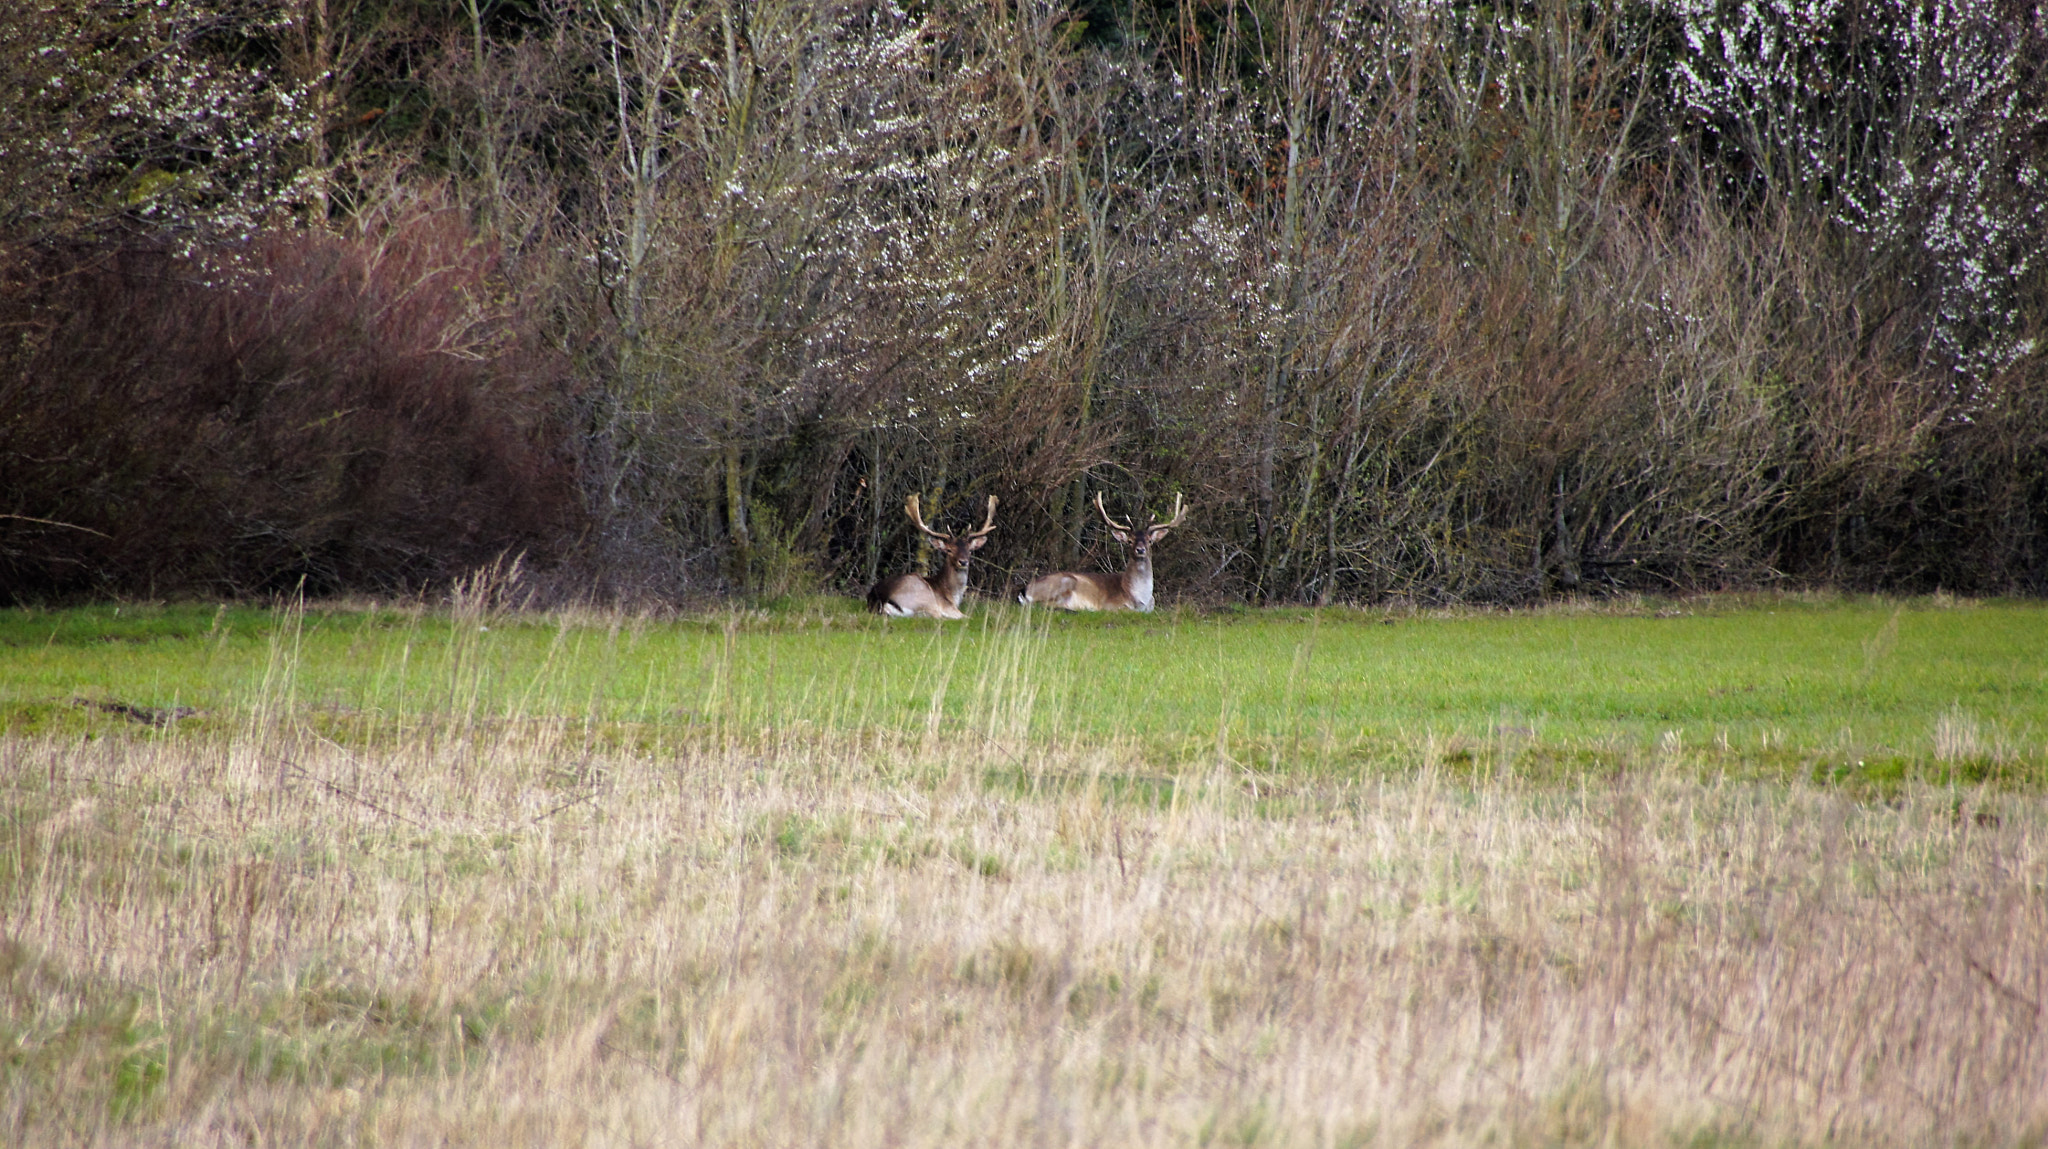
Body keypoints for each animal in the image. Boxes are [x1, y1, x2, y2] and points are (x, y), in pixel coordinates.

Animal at [866, 493, 999, 619]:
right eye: (949, 550)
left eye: (970, 550)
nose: (963, 562)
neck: (952, 596)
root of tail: (880, 600)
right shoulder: (946, 606)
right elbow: (969, 617)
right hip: (925, 598)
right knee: (937, 616)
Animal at [1019, 492, 1186, 612]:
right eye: (1130, 541)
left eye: (1149, 541)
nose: (1140, 549)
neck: (1141, 597)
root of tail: (1025, 591)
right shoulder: (1112, 604)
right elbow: (1124, 609)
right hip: (1064, 582)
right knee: (1042, 605)